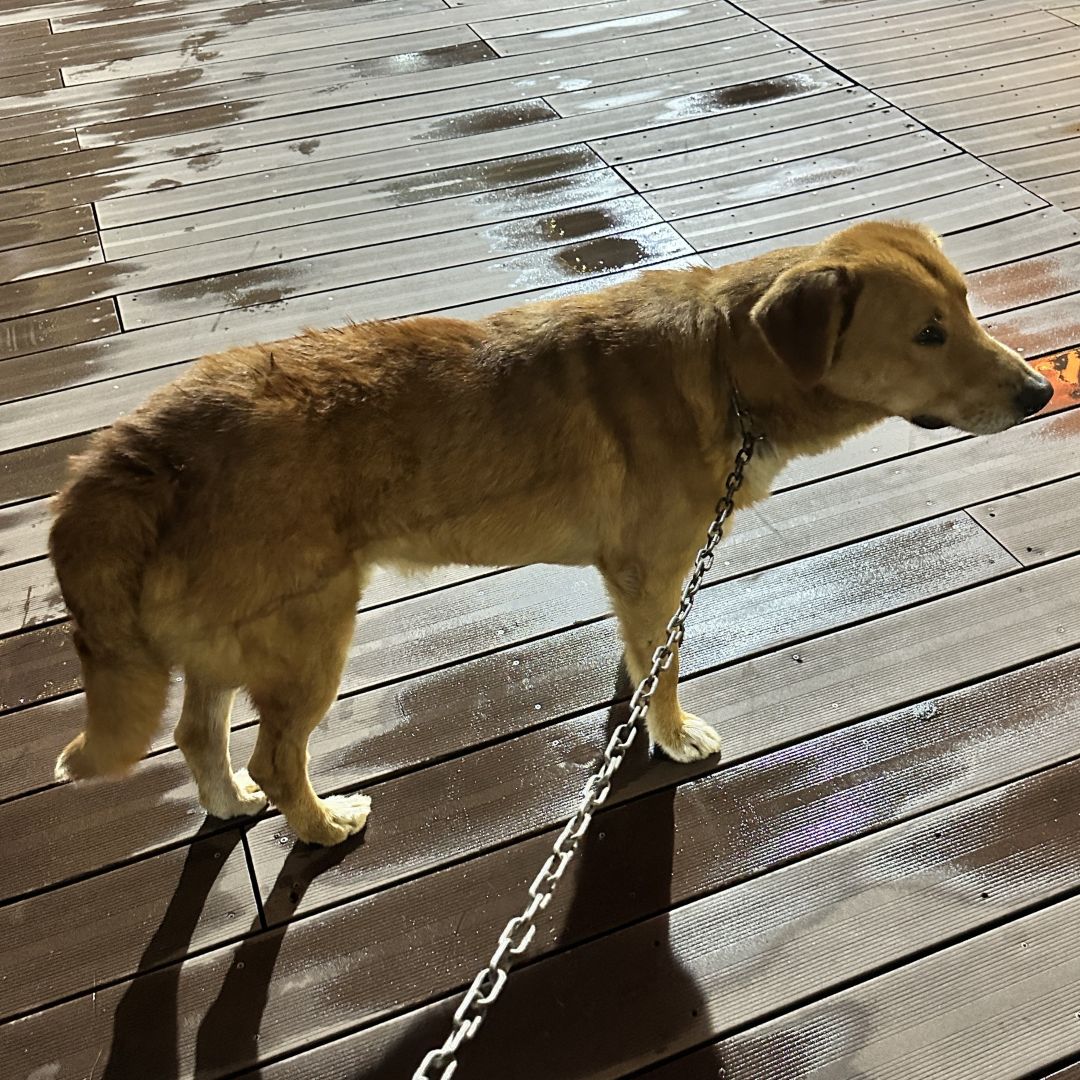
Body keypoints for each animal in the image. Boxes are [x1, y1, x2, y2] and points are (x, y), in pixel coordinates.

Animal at [49, 220, 1053, 846]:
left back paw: (231, 802)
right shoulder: (653, 567)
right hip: (307, 638)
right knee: (273, 751)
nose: (1043, 391)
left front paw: (638, 701)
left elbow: (645, 655)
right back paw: (319, 826)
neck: (725, 364)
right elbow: (667, 666)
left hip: (230, 632)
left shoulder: (637, 579)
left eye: (969, 306)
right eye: (928, 334)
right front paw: (671, 732)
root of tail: (139, 440)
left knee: (197, 735)